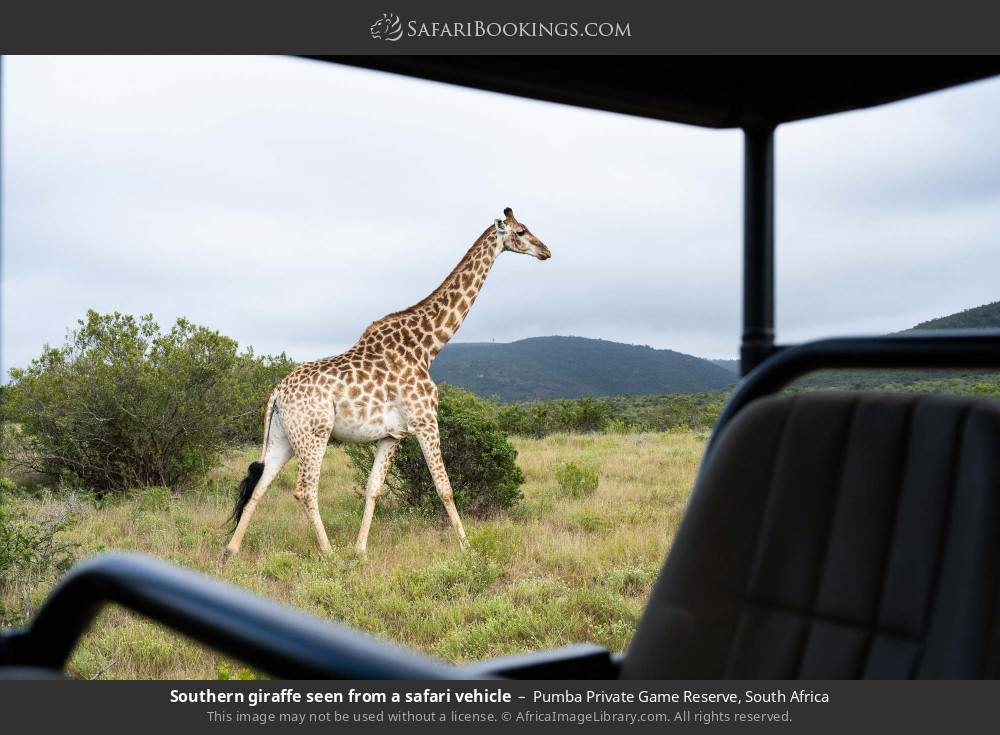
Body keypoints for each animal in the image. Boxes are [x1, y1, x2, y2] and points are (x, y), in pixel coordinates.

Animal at [224, 208, 551, 559]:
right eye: (521, 231)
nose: (546, 251)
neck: (427, 346)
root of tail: (277, 392)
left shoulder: (392, 435)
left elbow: (373, 489)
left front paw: (361, 550)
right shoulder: (425, 420)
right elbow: (445, 487)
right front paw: (468, 548)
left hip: (284, 436)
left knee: (260, 485)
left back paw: (231, 551)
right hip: (315, 433)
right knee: (304, 489)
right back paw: (329, 553)